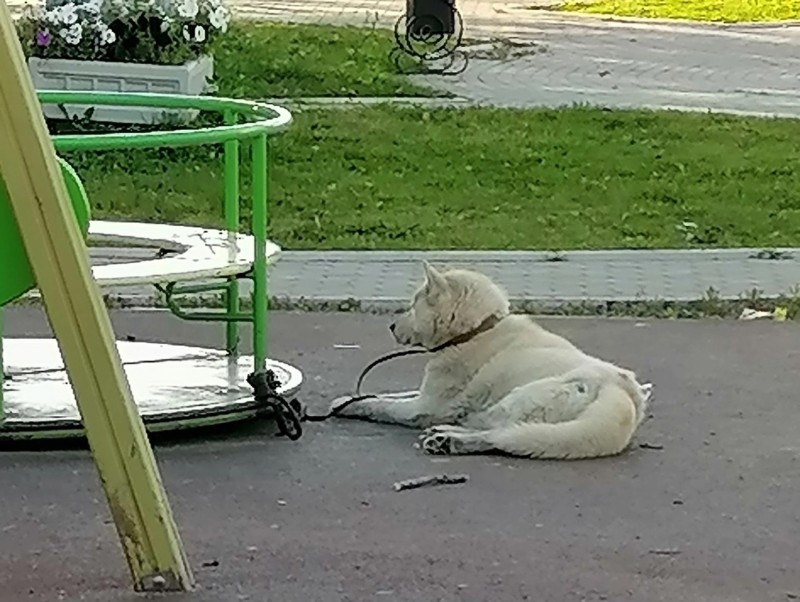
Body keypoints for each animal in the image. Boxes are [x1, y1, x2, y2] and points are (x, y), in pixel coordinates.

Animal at [328, 260, 652, 458]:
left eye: (412, 305)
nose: (392, 326)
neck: (476, 331)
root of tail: (623, 395)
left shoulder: (425, 406)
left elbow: (382, 405)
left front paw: (349, 406)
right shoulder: (425, 393)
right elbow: (389, 394)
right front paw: (350, 397)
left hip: (518, 399)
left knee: (497, 433)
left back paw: (449, 438)